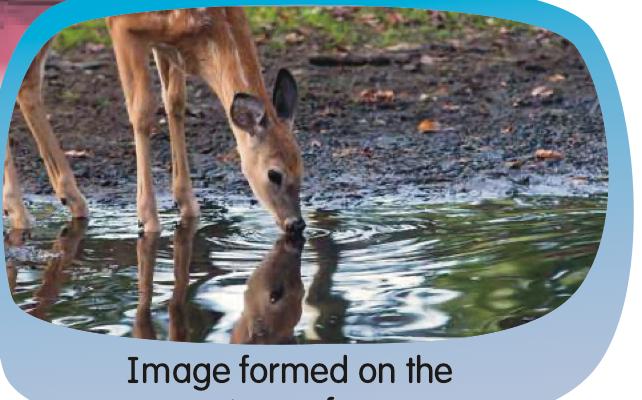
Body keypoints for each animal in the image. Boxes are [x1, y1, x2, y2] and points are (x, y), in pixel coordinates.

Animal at [3, 7, 306, 235]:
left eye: (302, 167)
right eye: (274, 174)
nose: (297, 224)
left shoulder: (166, 42)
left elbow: (175, 100)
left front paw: (188, 205)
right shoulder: (123, 26)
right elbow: (142, 110)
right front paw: (147, 219)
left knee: (27, 81)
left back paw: (67, 201)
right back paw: (21, 213)